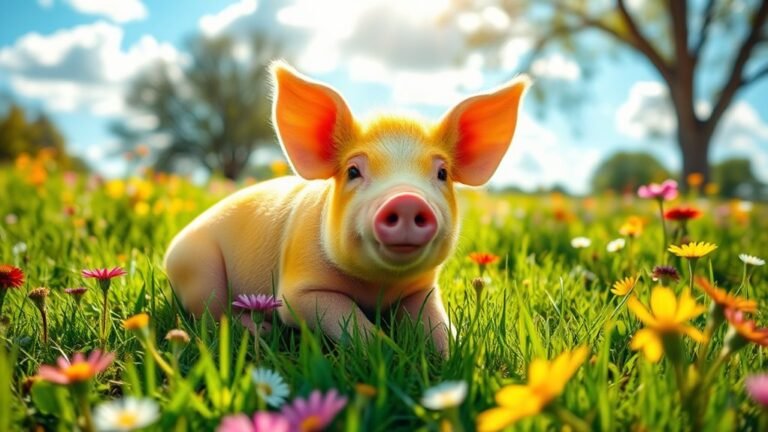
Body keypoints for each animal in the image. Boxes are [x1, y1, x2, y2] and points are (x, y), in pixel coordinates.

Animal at [164, 62, 529, 354]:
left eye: (442, 173)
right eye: (353, 171)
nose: (406, 198)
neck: (378, 285)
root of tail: (171, 249)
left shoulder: (423, 289)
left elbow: (437, 323)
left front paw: (457, 356)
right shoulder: (299, 289)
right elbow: (345, 318)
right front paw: (390, 353)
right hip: (199, 271)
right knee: (213, 318)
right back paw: (262, 330)